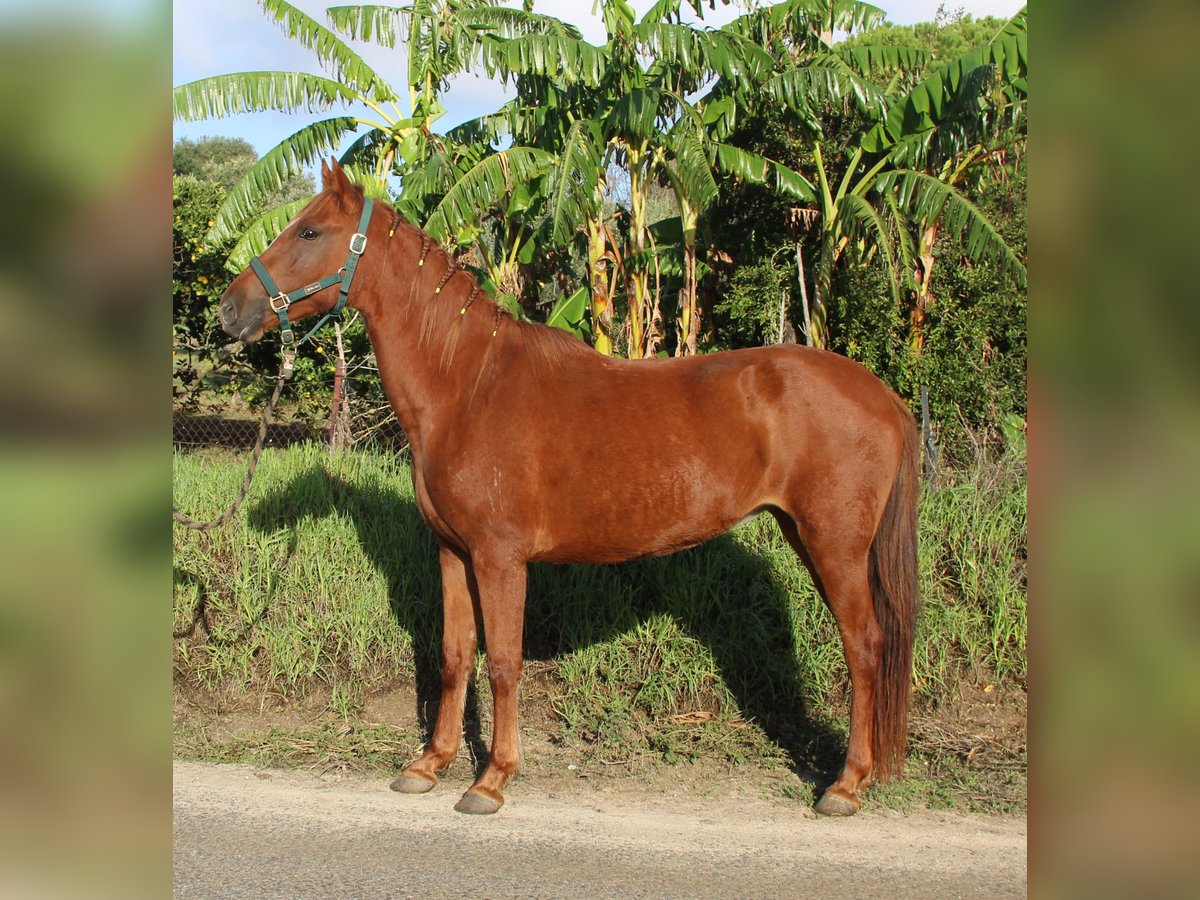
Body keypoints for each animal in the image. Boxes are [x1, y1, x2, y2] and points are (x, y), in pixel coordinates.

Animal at [218, 160, 916, 816]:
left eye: (310, 232)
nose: (231, 308)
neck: (467, 387)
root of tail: (884, 397)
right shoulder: (453, 552)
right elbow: (454, 655)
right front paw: (429, 764)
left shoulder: (501, 558)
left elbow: (503, 662)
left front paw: (491, 780)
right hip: (806, 536)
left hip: (834, 545)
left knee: (865, 646)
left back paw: (845, 785)